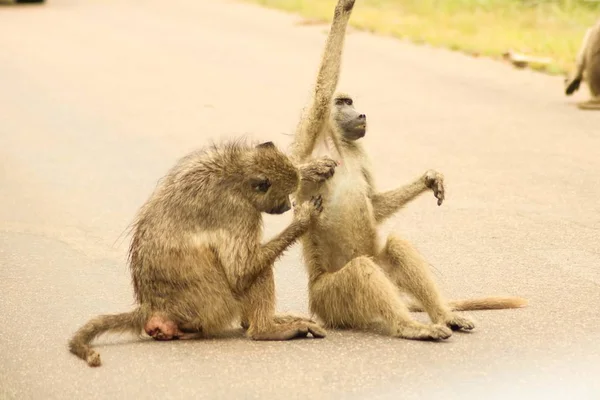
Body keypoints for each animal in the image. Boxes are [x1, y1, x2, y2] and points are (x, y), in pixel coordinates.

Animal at [69, 139, 338, 368]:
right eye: (284, 195)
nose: (285, 207)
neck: (236, 172)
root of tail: (153, 306)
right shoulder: (238, 211)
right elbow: (241, 271)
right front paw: (305, 218)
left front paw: (312, 168)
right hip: (215, 308)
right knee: (256, 273)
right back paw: (266, 330)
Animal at [288, 0, 528, 340]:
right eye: (344, 102)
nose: (362, 114)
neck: (338, 144)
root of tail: (317, 307)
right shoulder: (311, 123)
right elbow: (318, 102)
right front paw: (343, 9)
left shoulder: (360, 152)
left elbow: (374, 205)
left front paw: (429, 180)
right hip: (331, 299)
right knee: (361, 271)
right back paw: (412, 327)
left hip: (375, 274)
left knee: (397, 247)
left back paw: (444, 316)